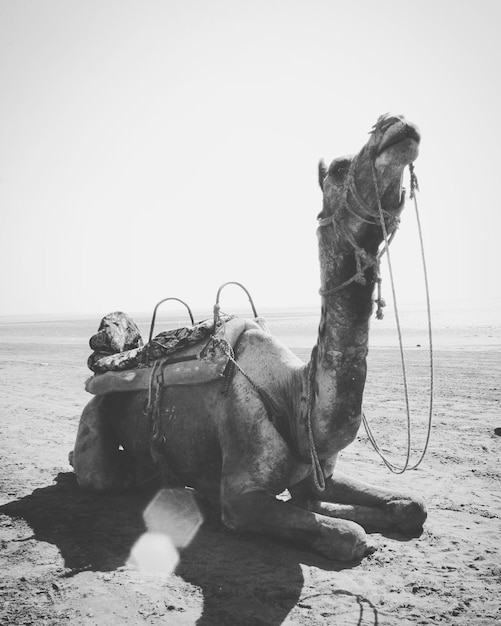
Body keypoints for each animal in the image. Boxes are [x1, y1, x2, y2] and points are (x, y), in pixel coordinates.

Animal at [73, 113, 426, 560]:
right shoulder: (241, 498)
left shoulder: (317, 475)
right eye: (338, 168)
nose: (394, 123)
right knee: (100, 474)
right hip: (94, 418)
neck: (294, 398)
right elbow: (350, 535)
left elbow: (410, 506)